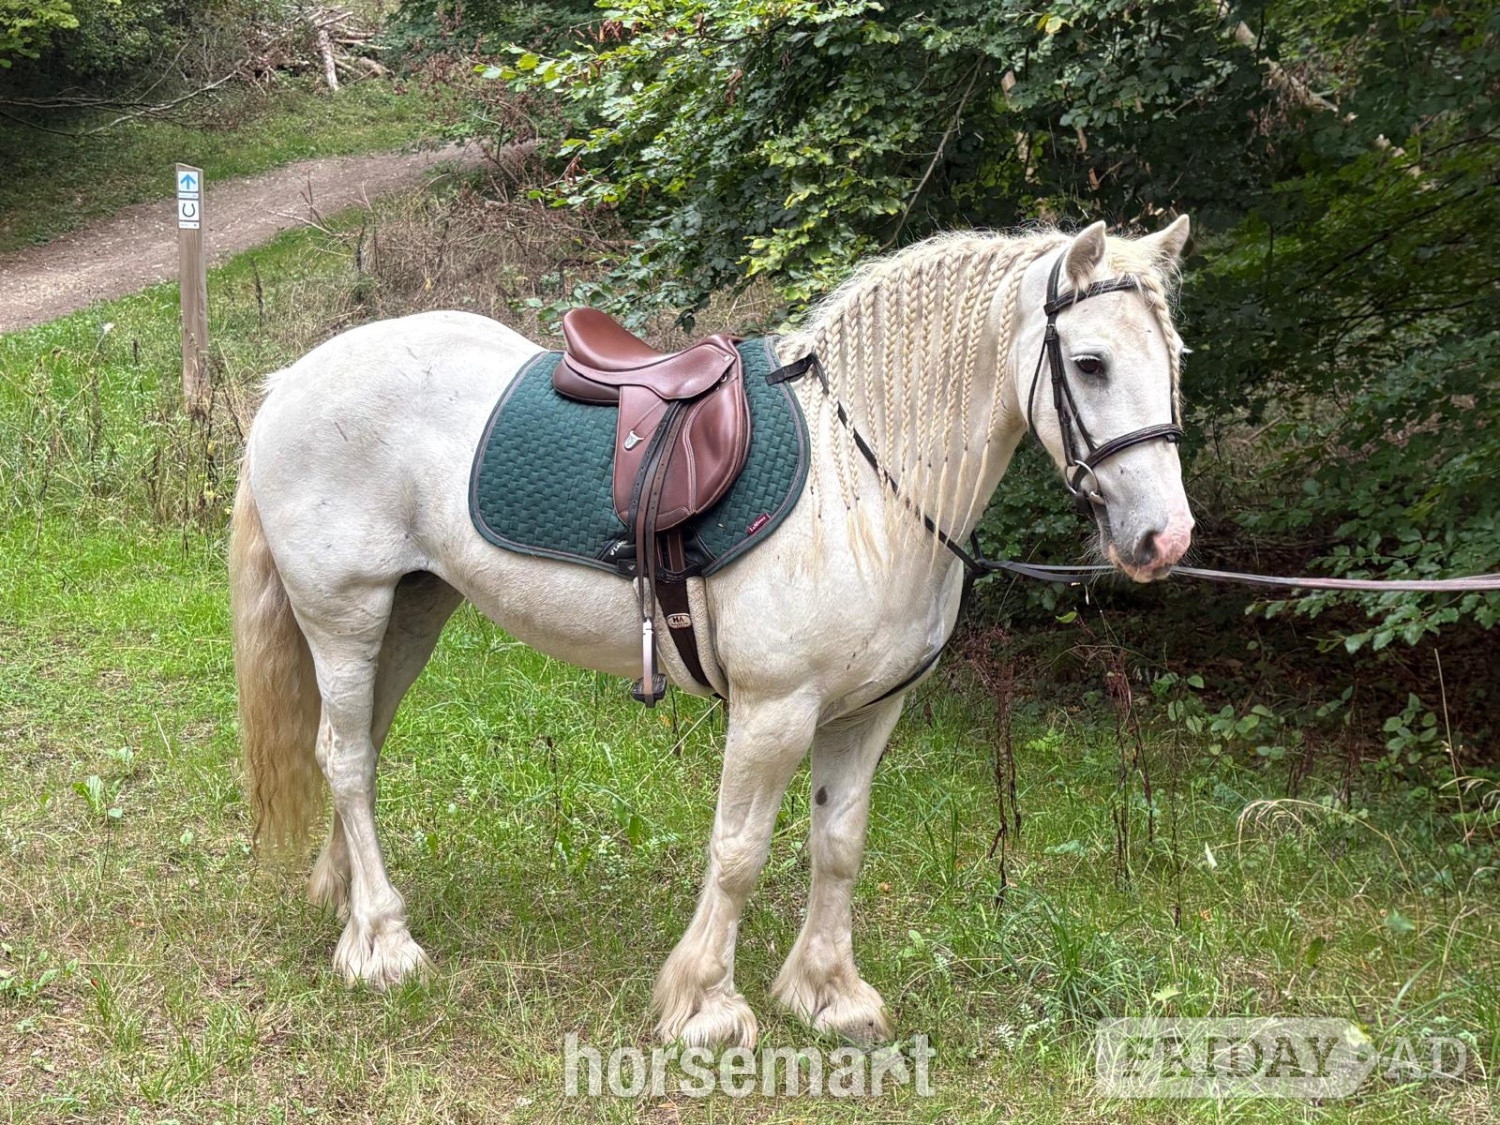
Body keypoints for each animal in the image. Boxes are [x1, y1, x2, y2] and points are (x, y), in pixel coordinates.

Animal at [228, 217, 1195, 1049]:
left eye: (1174, 359)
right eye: (1091, 362)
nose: (1166, 538)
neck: (856, 483)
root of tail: (291, 381)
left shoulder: (868, 711)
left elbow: (838, 843)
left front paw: (829, 992)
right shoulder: (774, 710)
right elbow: (738, 852)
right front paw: (706, 1004)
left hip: (412, 613)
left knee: (362, 748)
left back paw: (352, 905)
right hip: (344, 615)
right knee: (344, 756)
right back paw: (383, 942)